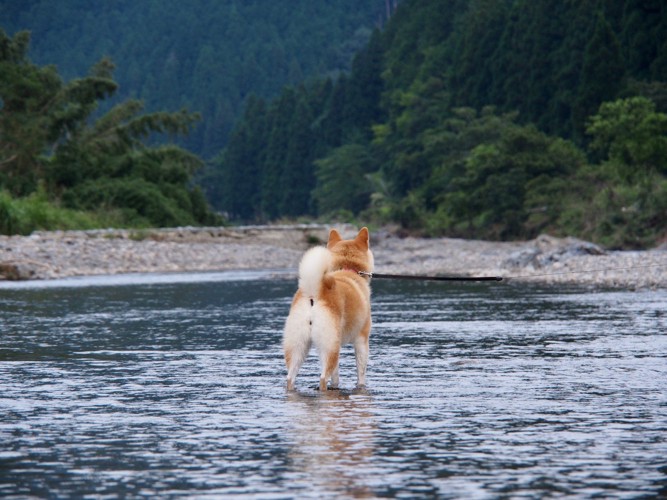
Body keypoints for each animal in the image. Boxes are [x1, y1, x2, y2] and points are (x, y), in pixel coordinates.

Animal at [284, 227, 374, 390]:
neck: (347, 269)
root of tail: (314, 292)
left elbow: (336, 376)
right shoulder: (361, 340)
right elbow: (361, 372)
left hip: (299, 347)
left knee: (290, 378)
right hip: (329, 347)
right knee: (323, 378)